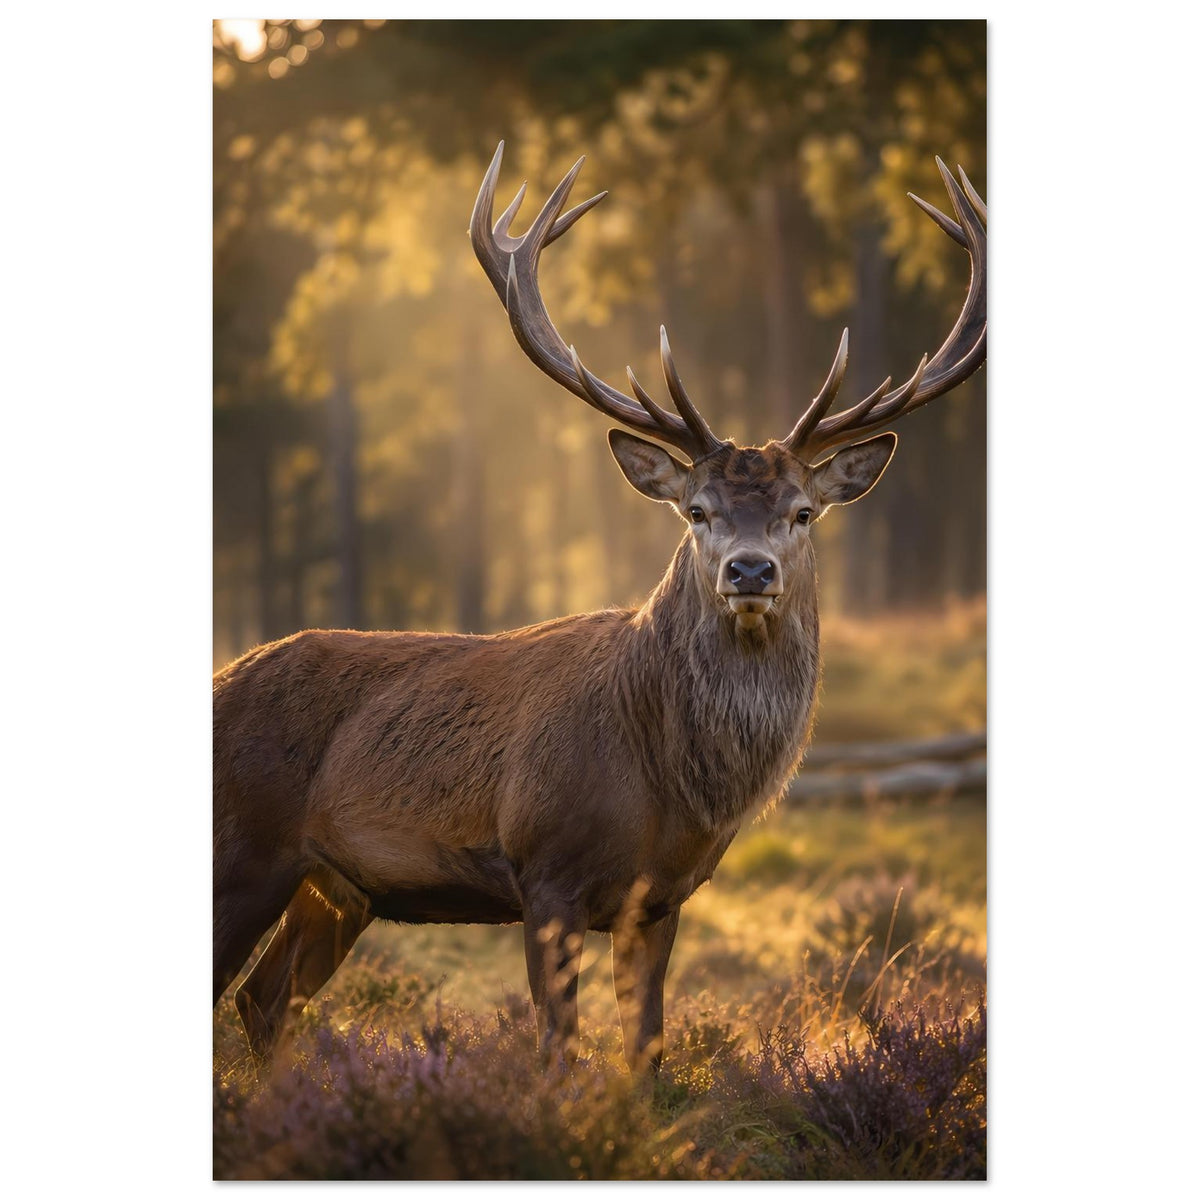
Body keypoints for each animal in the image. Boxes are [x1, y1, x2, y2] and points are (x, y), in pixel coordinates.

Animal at [214, 142, 986, 1072]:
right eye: (697, 511)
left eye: (803, 512)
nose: (750, 571)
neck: (665, 780)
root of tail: (219, 681)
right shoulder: (545, 871)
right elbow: (556, 1049)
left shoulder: (663, 897)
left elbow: (645, 1050)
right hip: (243, 847)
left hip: (338, 885)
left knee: (264, 1000)